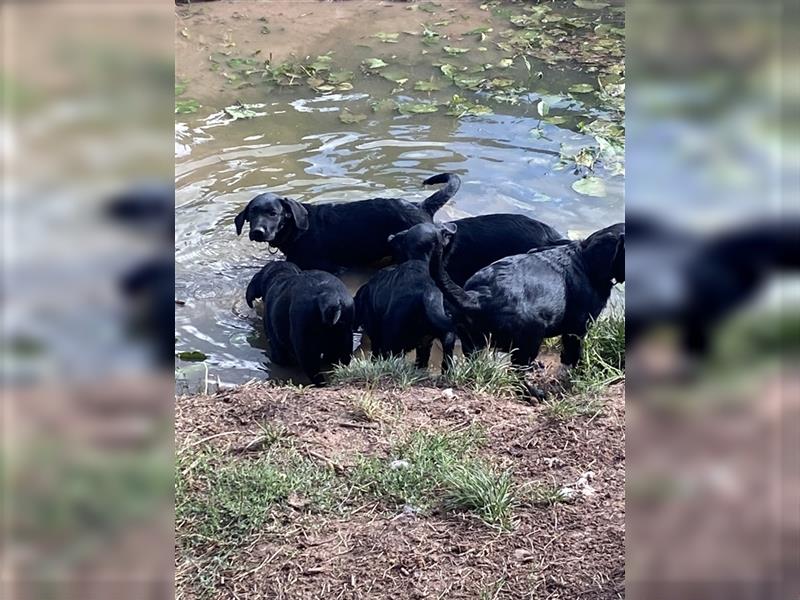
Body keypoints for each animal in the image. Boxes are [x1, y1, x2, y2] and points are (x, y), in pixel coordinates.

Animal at [432, 223, 624, 366]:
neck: (586, 259)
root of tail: (477, 297)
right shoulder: (577, 328)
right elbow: (573, 353)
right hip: (531, 337)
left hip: (471, 340)